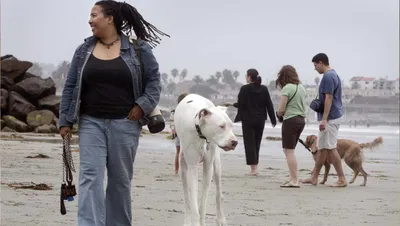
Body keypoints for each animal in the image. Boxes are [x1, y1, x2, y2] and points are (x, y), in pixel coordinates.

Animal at [174, 92, 238, 225]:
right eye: (221, 126)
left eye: (231, 126)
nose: (235, 142)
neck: (201, 134)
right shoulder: (192, 168)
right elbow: (193, 203)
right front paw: (194, 221)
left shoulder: (208, 167)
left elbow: (202, 204)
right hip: (182, 165)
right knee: (186, 197)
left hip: (216, 165)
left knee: (219, 193)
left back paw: (221, 219)